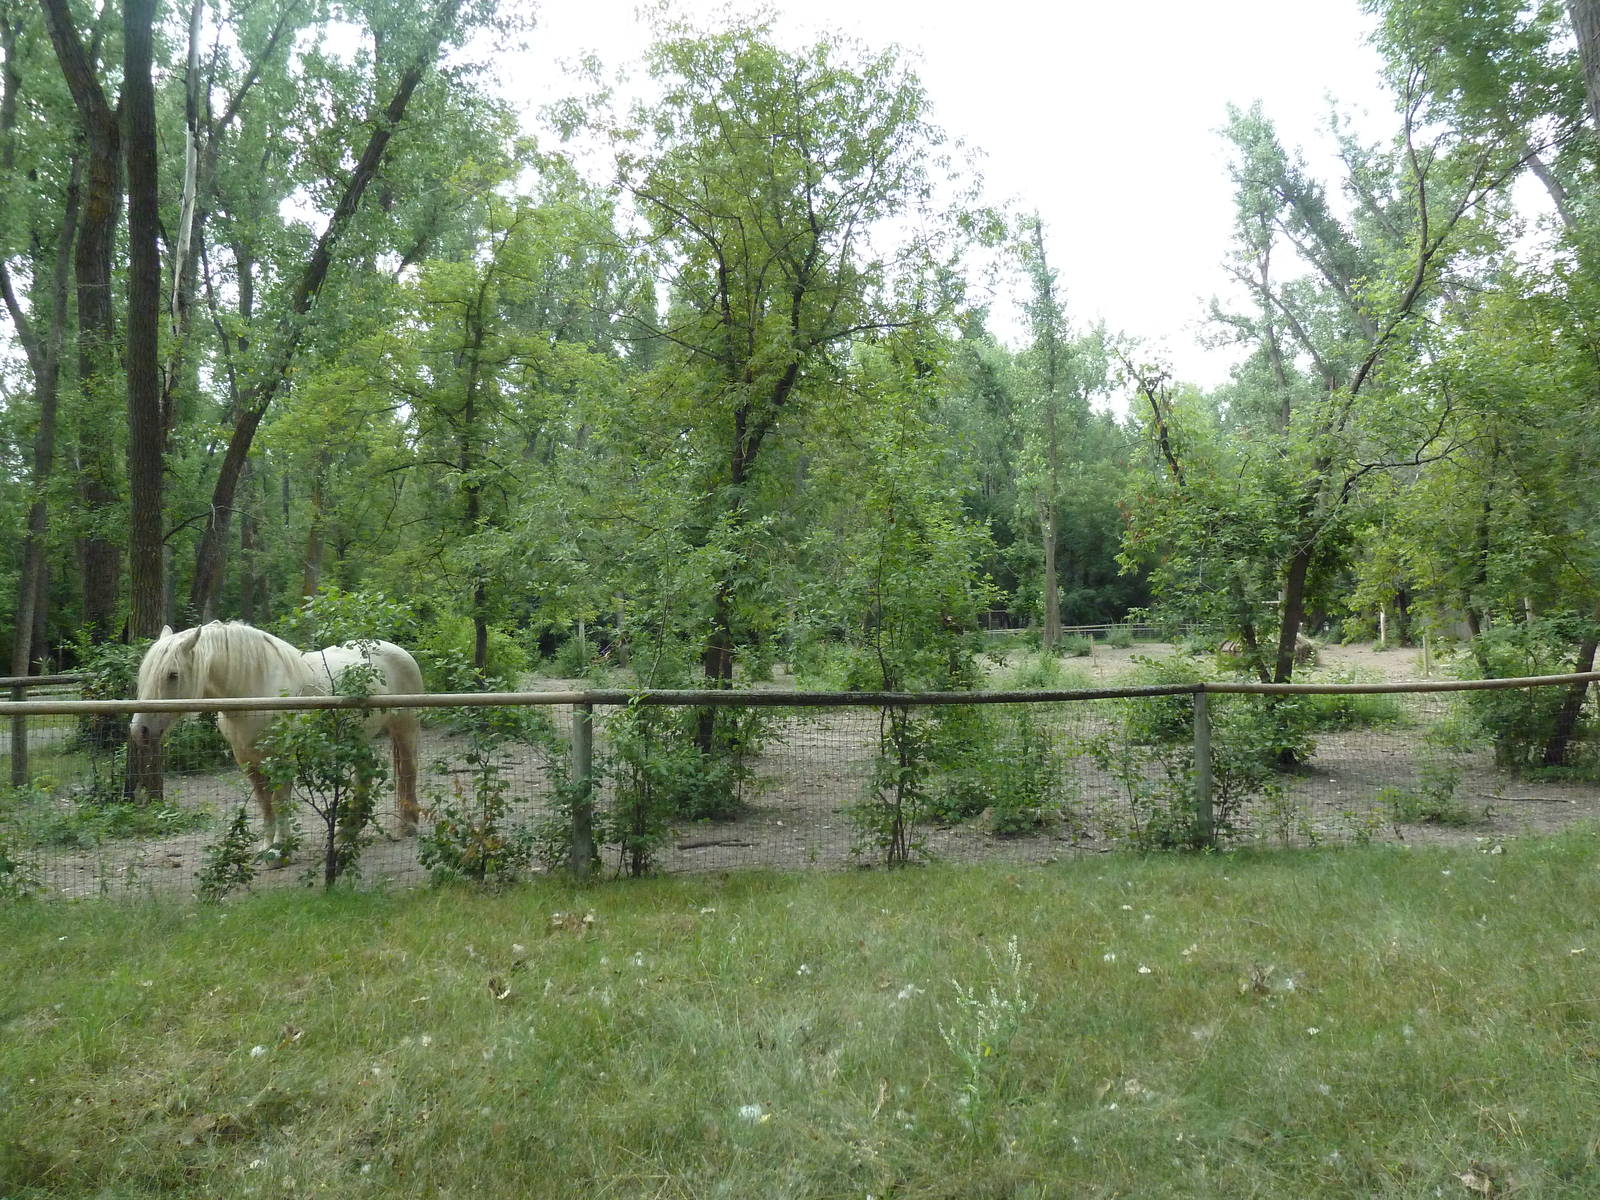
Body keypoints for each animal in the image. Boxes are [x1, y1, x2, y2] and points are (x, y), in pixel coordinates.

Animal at [130, 621, 424, 861]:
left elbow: (280, 800)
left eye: (172, 675)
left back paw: (406, 825)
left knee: (409, 772)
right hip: (358, 740)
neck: (254, 692)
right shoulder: (247, 760)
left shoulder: (282, 757)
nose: (139, 730)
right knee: (365, 776)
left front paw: (280, 850)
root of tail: (397, 651)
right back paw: (346, 833)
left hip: (405, 728)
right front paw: (266, 846)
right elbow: (264, 802)